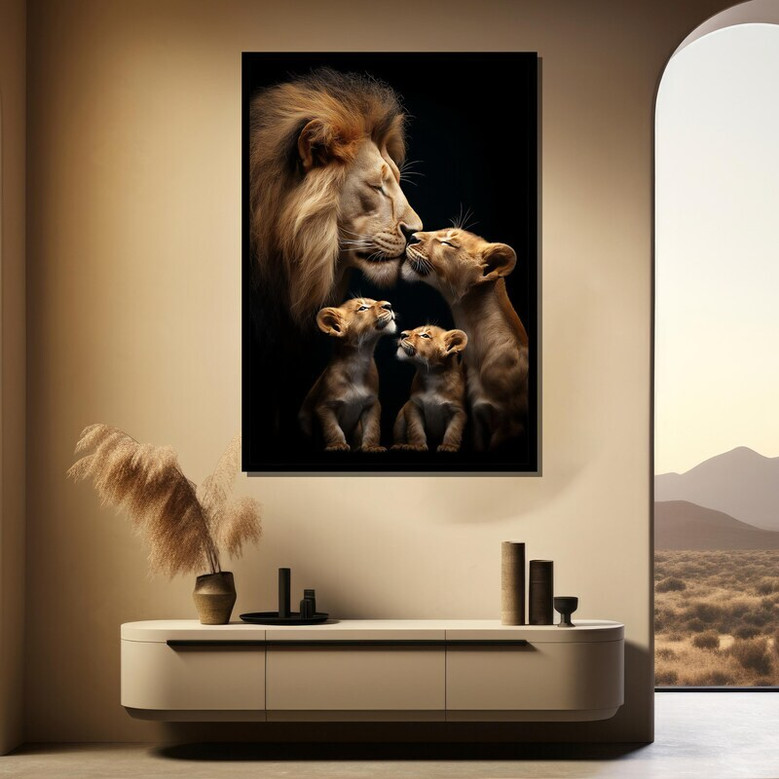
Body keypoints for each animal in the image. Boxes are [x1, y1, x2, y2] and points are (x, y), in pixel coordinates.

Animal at [299, 297, 397, 452]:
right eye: (362, 308)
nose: (389, 305)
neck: (358, 359)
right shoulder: (324, 406)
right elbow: (333, 429)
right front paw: (337, 445)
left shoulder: (371, 404)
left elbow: (372, 427)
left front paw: (372, 447)